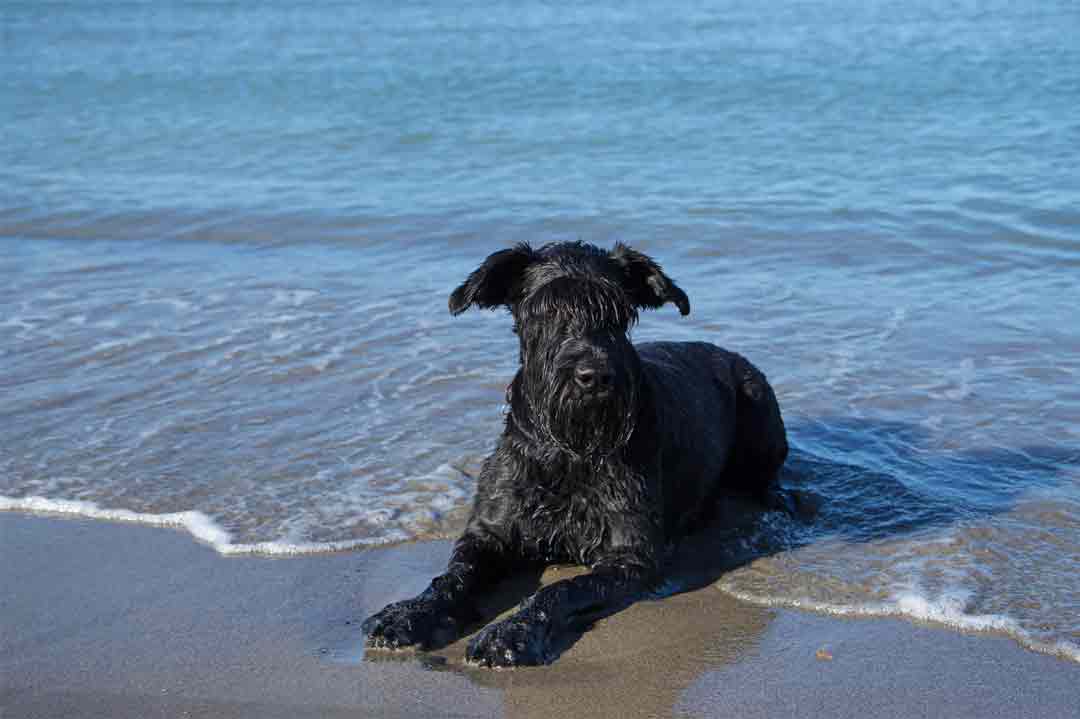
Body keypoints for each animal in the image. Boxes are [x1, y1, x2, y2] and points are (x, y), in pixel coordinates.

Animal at [360, 241, 786, 665]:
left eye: (619, 314)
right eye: (546, 311)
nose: (594, 376)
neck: (565, 452)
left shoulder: (629, 556)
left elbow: (559, 590)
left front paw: (510, 632)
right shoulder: (489, 534)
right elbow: (453, 577)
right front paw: (408, 613)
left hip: (759, 417)